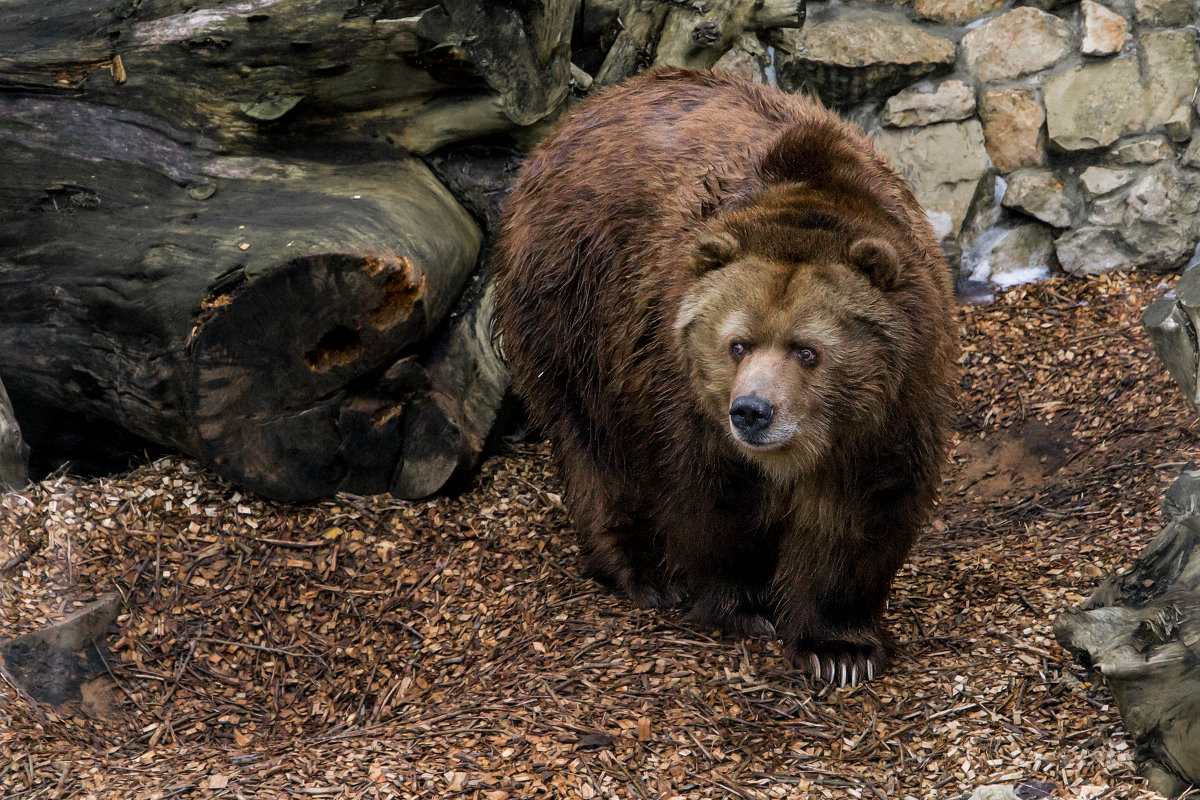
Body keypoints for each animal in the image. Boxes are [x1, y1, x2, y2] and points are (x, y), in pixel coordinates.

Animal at [494, 67, 955, 690]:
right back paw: (643, 570)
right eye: (737, 343)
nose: (752, 411)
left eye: (807, 351)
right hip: (575, 304)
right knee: (596, 443)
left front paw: (840, 648)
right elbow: (714, 496)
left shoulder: (897, 404)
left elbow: (861, 512)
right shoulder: (682, 389)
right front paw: (746, 605)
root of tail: (577, 116)